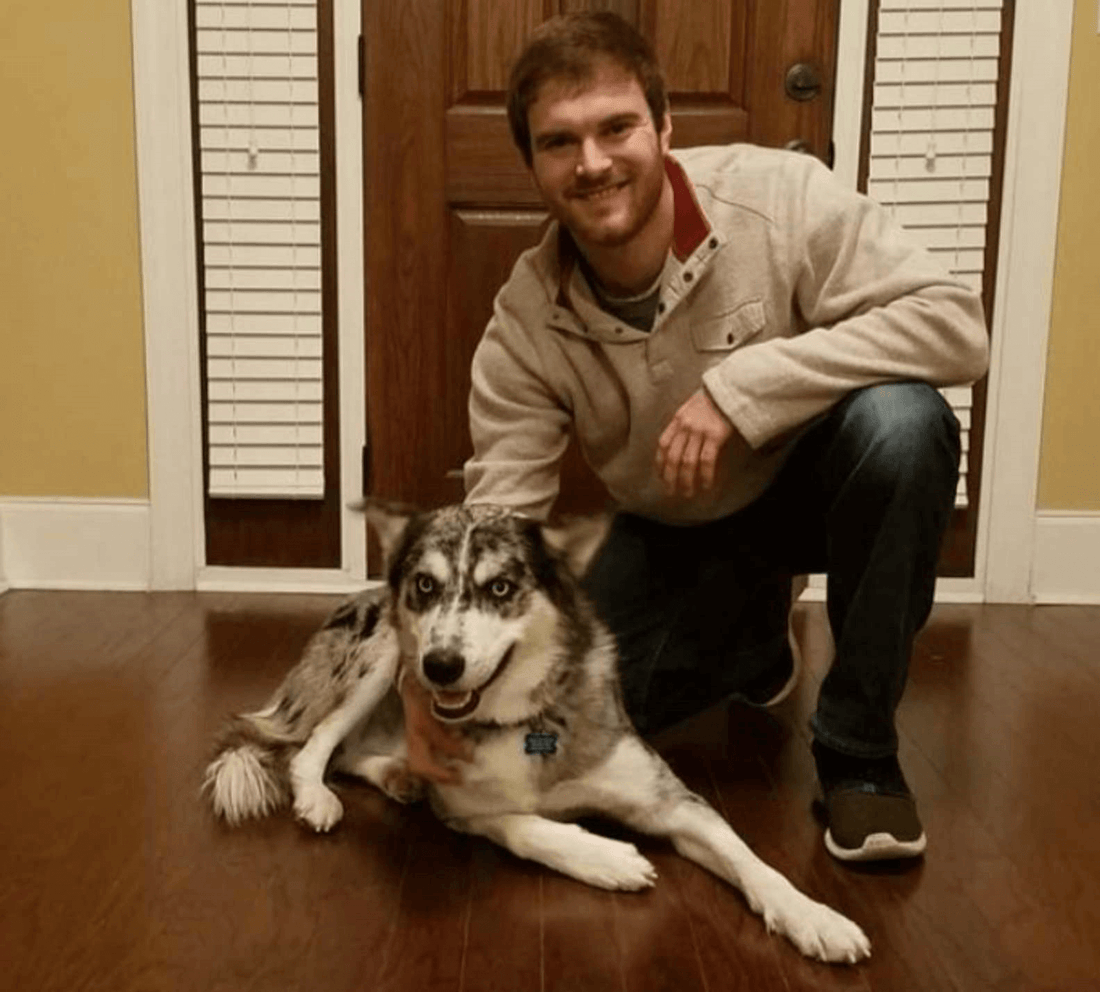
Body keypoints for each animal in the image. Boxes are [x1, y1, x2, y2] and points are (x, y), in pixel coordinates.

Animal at [202, 501, 871, 967]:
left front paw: (815, 917)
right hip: (384, 654)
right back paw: (318, 795)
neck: (524, 720)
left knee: (350, 750)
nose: (441, 666)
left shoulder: (673, 803)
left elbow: (749, 859)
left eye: (501, 587)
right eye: (426, 586)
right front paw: (608, 859)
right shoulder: (465, 805)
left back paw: (396, 776)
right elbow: (524, 825)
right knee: (315, 744)